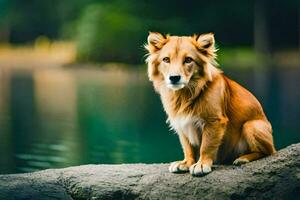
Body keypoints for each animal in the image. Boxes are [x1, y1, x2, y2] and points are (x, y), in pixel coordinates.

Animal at [144, 32, 276, 176]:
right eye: (166, 59)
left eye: (188, 60)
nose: (174, 78)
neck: (184, 95)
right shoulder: (181, 123)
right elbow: (187, 146)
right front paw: (186, 163)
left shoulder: (214, 121)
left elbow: (206, 146)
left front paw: (202, 165)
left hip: (251, 125)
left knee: (268, 152)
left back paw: (243, 158)